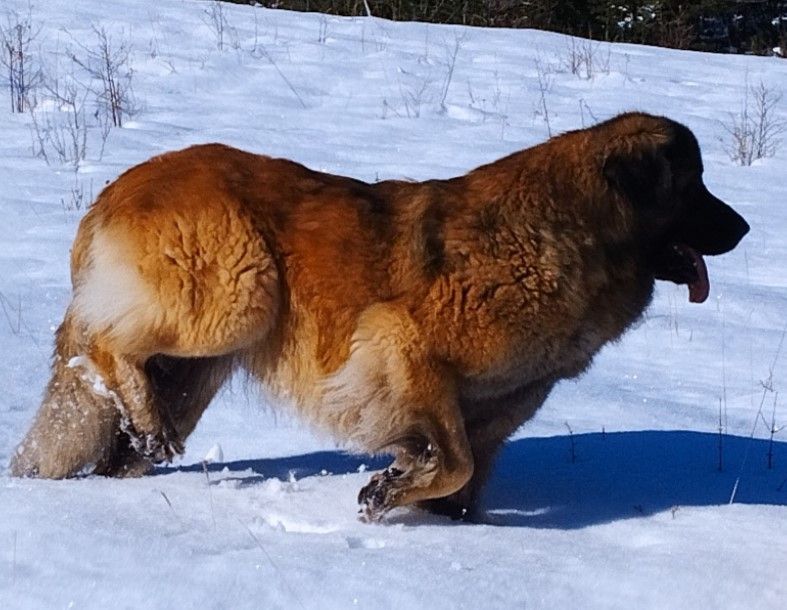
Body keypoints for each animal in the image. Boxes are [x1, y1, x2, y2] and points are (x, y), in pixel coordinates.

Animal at [12, 113, 752, 516]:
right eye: (692, 185)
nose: (745, 227)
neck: (572, 232)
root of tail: (119, 184)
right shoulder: (401, 343)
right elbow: (452, 459)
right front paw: (386, 492)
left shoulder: (506, 401)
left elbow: (466, 472)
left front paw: (429, 510)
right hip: (240, 298)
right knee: (99, 343)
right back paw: (142, 417)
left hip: (199, 366)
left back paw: (139, 444)